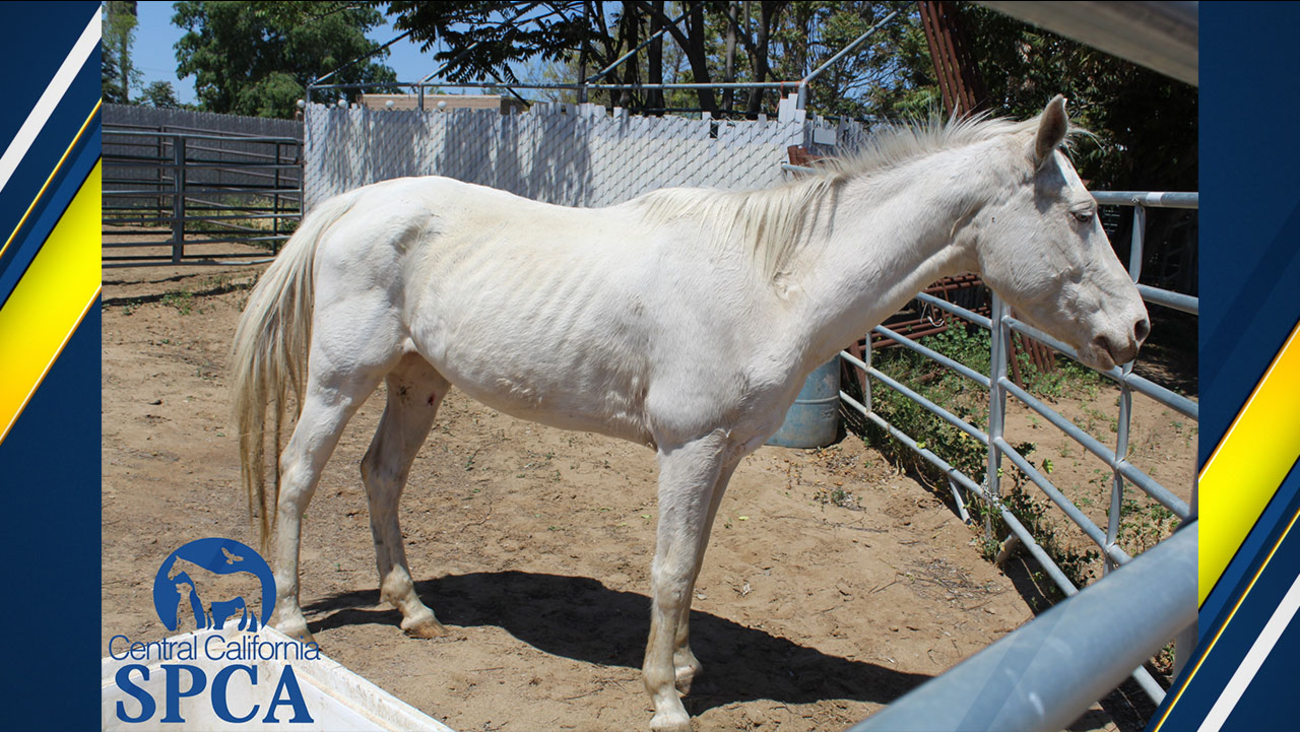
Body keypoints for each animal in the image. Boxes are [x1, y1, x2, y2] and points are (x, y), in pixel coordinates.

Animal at [231, 96, 1148, 732]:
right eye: (1082, 216)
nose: (1137, 329)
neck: (769, 280)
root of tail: (354, 204)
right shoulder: (689, 448)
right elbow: (670, 570)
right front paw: (665, 701)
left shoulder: (724, 454)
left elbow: (696, 564)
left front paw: (683, 668)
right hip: (341, 379)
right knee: (299, 474)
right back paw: (291, 623)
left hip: (417, 382)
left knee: (380, 477)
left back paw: (414, 610)